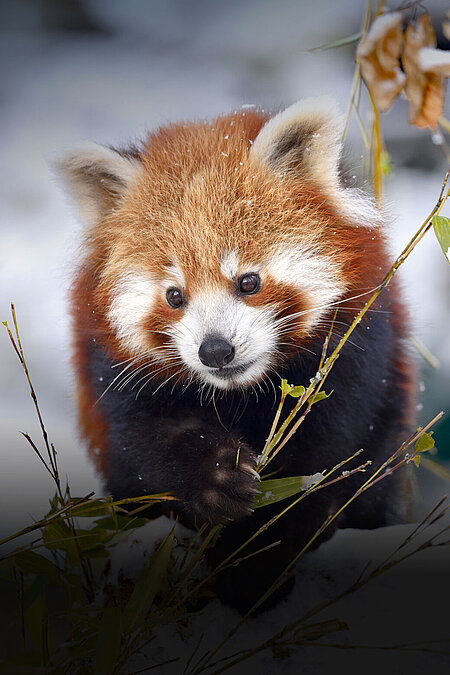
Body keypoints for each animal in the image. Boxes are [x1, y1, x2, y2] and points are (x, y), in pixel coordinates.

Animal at [58, 99, 416, 612]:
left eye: (248, 282)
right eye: (174, 296)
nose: (215, 350)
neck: (239, 393)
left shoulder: (355, 354)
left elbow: (330, 457)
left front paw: (258, 566)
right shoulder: (115, 372)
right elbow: (147, 444)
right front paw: (217, 478)